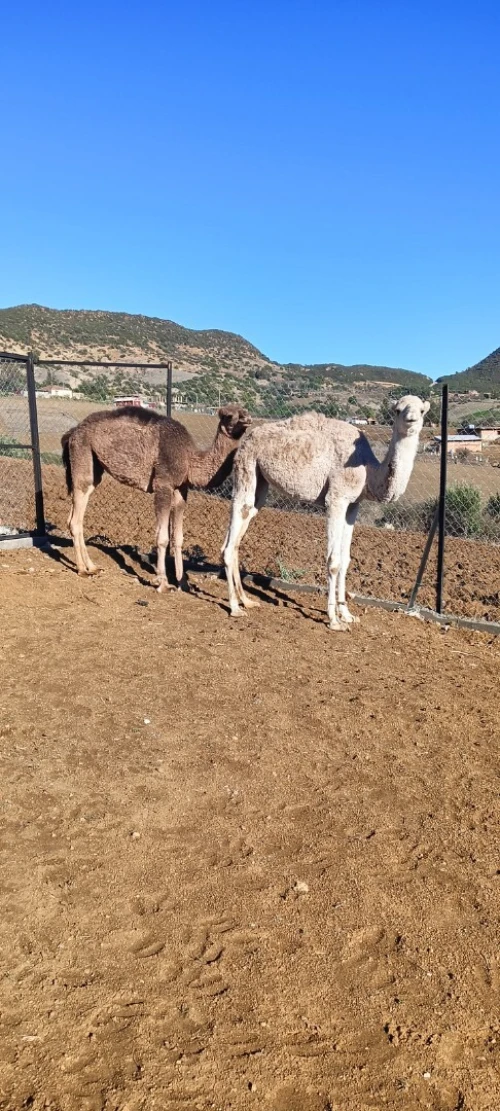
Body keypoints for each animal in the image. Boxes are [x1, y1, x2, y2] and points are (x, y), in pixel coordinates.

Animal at [61, 403, 251, 590]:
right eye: (228, 415)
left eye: (244, 411)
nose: (247, 419)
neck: (188, 458)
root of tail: (73, 432)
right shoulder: (163, 485)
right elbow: (162, 538)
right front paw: (163, 582)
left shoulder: (181, 489)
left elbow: (178, 538)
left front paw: (183, 583)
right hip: (82, 452)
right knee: (76, 517)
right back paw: (83, 570)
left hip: (93, 467)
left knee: (76, 511)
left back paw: (92, 567)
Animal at [222, 395, 430, 629]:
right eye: (397, 410)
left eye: (422, 410)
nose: (411, 420)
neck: (367, 470)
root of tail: (246, 439)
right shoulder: (336, 499)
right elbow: (334, 562)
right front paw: (334, 620)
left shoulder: (353, 505)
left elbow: (346, 560)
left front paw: (347, 614)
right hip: (246, 466)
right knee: (236, 524)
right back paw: (235, 608)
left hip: (261, 482)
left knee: (241, 525)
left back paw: (247, 601)